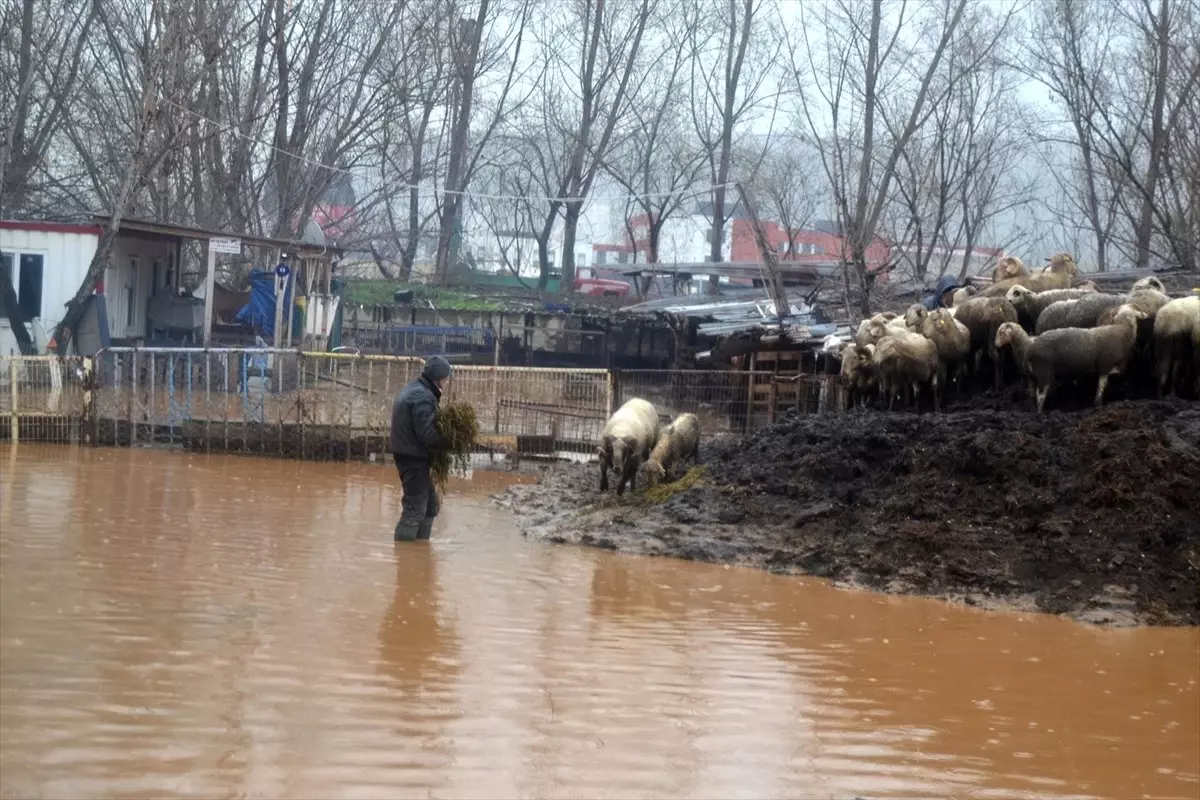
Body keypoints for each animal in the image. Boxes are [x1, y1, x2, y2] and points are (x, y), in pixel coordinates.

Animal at [988, 304, 1147, 412]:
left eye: (1001, 332)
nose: (995, 344)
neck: (1122, 330)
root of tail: (1032, 348)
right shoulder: (1105, 365)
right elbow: (1101, 386)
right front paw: (1098, 404)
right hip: (1044, 372)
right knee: (1041, 395)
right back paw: (1040, 414)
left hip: (1036, 375)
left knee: (1035, 393)